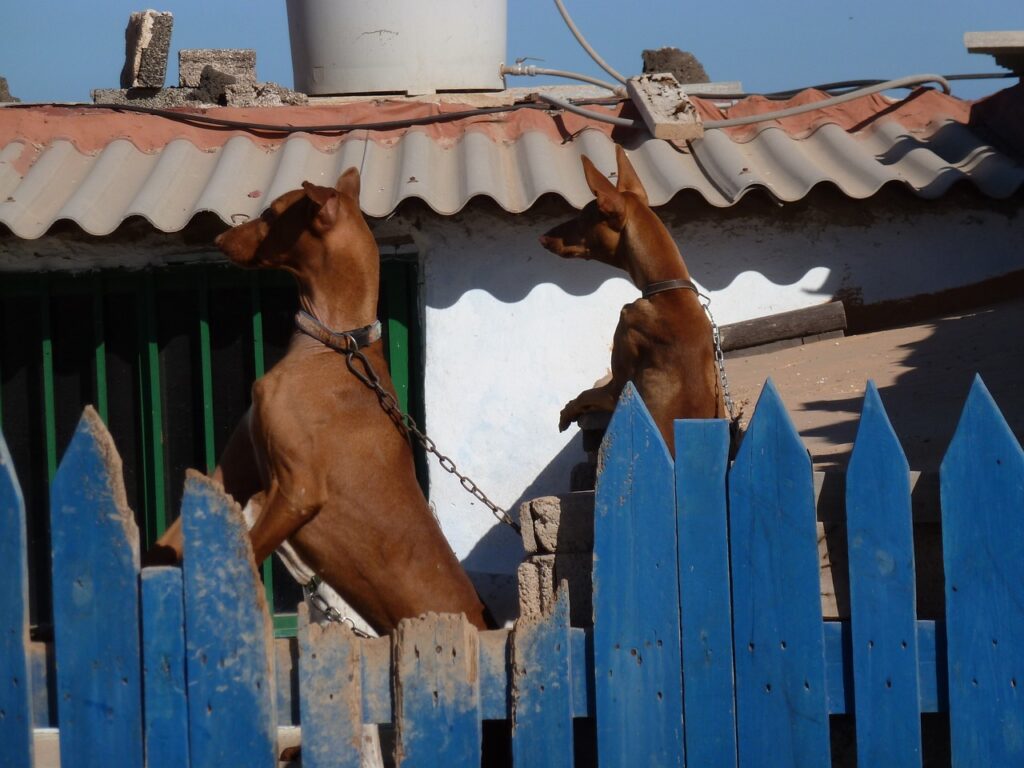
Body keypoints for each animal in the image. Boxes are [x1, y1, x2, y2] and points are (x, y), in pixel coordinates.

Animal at [147, 171, 491, 634]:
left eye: (271, 213)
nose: (217, 237)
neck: (334, 344)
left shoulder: (299, 491)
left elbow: (248, 556)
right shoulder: (229, 477)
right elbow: (164, 545)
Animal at [540, 146, 724, 454]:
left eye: (582, 218)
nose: (542, 238)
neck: (669, 291)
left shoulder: (618, 387)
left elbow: (585, 393)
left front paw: (566, 412)